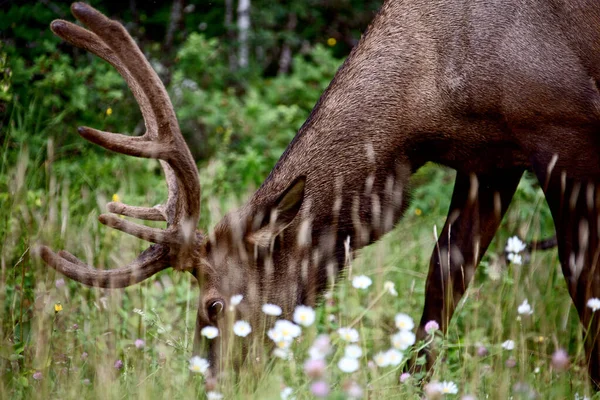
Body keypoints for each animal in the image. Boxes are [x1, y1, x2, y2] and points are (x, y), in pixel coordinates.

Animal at [41, 0, 600, 388]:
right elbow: (444, 276)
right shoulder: (491, 160)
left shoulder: (565, 128)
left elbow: (583, 280)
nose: (208, 383)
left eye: (214, 306)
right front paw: (415, 381)